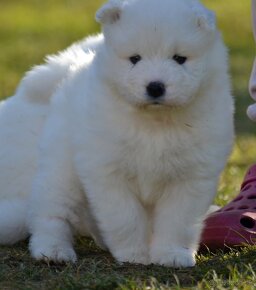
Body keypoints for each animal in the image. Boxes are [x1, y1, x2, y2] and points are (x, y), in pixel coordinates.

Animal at [0, 0, 234, 268]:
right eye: (135, 58)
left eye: (179, 59)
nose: (155, 86)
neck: (155, 125)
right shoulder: (109, 173)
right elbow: (125, 218)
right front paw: (134, 254)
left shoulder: (190, 178)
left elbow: (176, 222)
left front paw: (172, 254)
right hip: (61, 168)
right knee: (52, 212)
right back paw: (54, 250)